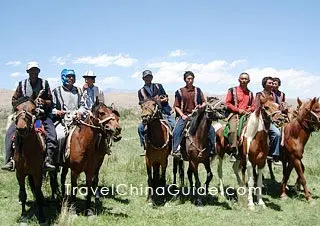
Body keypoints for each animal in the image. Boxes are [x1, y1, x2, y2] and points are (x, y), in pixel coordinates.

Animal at [12, 96, 46, 224]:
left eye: (33, 110)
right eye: (16, 109)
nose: (21, 129)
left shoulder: (38, 173)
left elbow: (38, 192)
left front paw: (42, 216)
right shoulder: (20, 173)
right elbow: (23, 194)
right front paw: (23, 215)